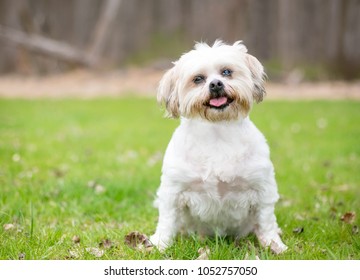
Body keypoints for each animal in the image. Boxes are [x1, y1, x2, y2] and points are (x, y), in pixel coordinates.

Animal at [150, 40, 286, 255]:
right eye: (198, 79)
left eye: (226, 72)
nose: (215, 84)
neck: (217, 132)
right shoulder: (172, 191)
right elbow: (167, 220)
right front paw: (160, 243)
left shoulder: (263, 188)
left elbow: (266, 221)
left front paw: (273, 244)